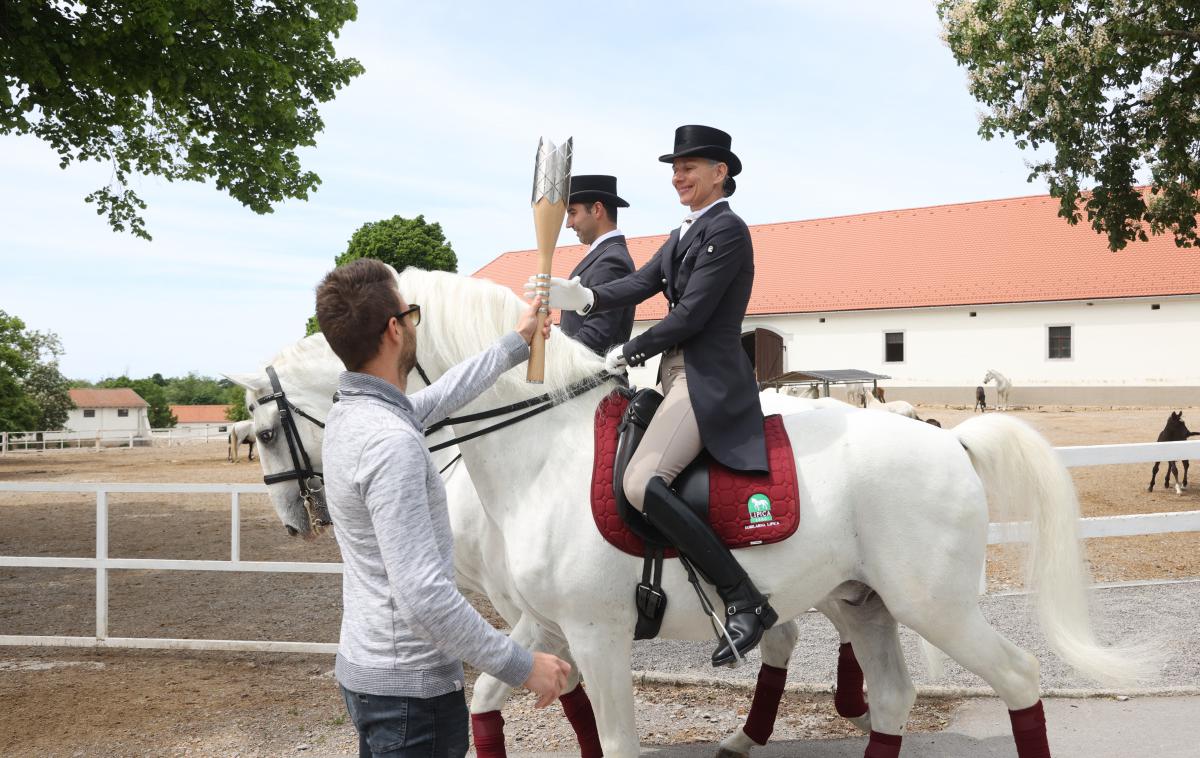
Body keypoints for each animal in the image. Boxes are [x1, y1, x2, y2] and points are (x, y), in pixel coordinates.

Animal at [388, 267, 1156, 758]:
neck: (548, 451)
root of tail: (950, 440)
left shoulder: (596, 634)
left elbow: (613, 742)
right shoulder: (544, 624)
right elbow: (488, 701)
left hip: (934, 606)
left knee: (1018, 677)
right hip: (863, 601)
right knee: (892, 695)